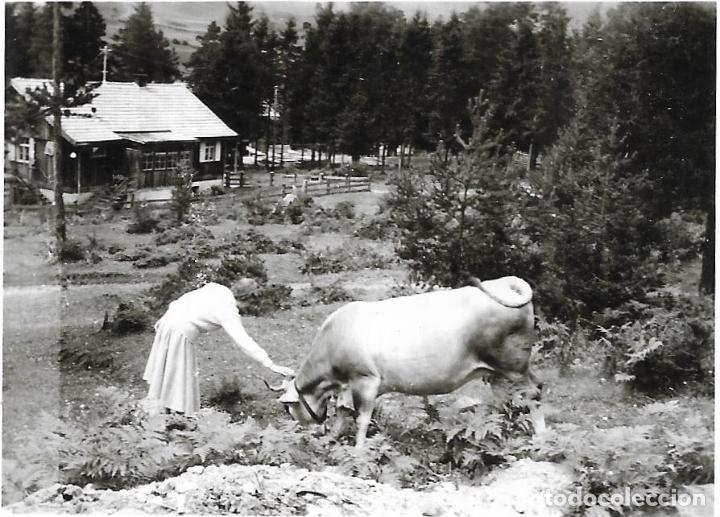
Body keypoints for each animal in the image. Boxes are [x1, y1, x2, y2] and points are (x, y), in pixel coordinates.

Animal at [265, 276, 545, 448]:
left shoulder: (365, 380)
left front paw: (358, 449)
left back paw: (541, 437)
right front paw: (332, 439)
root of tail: (506, 282)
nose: (306, 432)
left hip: (513, 366)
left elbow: (361, 418)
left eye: (288, 409)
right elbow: (343, 412)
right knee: (512, 398)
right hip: (499, 372)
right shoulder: (348, 384)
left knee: (532, 393)